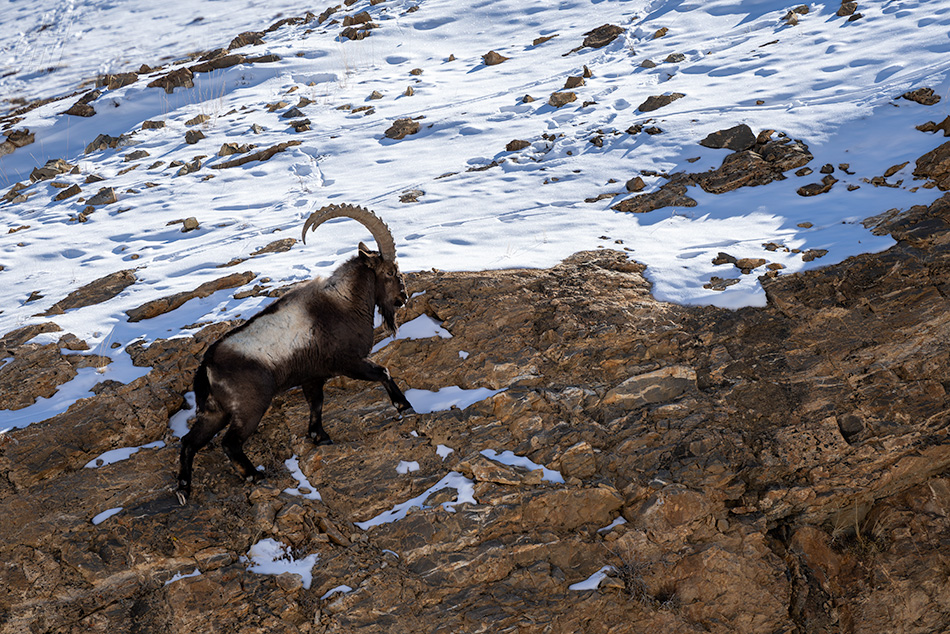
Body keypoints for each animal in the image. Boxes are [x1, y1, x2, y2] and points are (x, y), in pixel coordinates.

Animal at [177, 204, 414, 504]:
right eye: (390, 272)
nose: (403, 297)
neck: (344, 302)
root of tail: (207, 365)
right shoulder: (349, 362)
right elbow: (383, 371)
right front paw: (403, 405)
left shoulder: (313, 377)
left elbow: (316, 403)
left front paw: (319, 436)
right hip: (250, 407)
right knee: (229, 443)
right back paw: (253, 475)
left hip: (214, 412)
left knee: (189, 442)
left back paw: (183, 489)